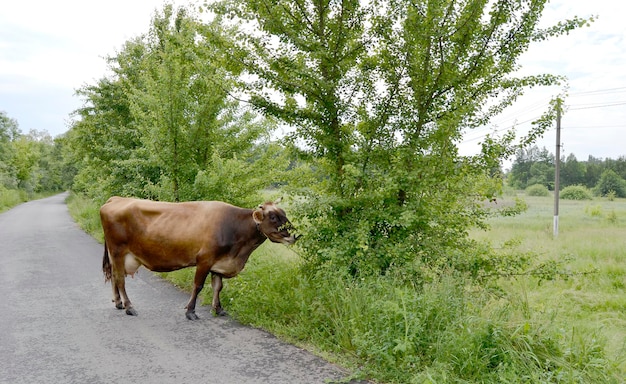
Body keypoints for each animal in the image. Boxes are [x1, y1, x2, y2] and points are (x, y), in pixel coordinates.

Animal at [100, 196, 298, 320]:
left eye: (284, 213)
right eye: (273, 217)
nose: (296, 235)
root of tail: (116, 199)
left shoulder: (219, 263)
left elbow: (218, 287)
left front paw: (218, 309)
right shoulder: (205, 259)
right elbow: (198, 286)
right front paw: (190, 311)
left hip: (115, 255)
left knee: (115, 278)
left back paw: (119, 303)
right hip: (117, 251)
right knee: (119, 279)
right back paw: (129, 307)